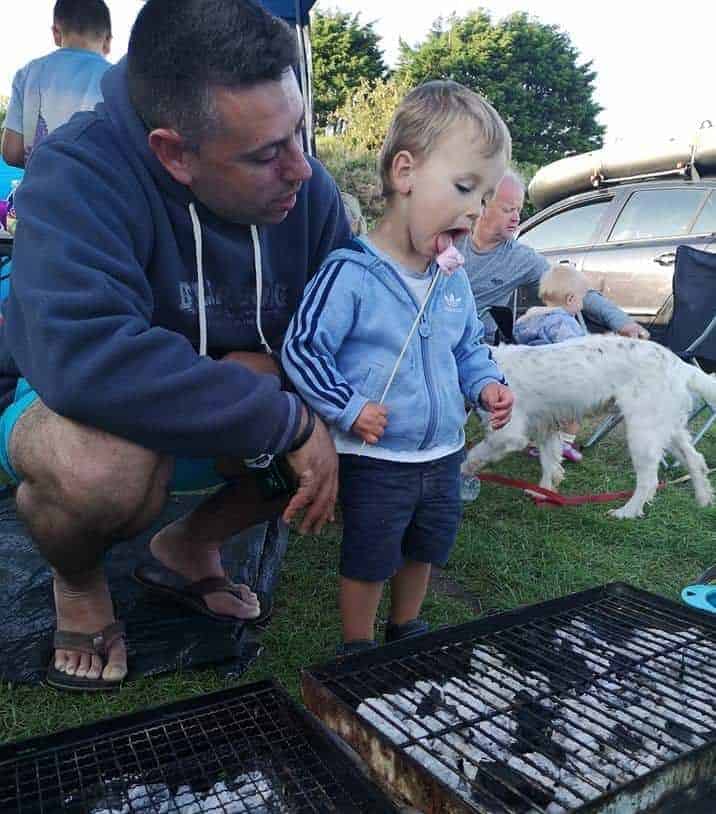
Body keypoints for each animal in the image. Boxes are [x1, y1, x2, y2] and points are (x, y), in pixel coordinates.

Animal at [464, 334, 716, 520]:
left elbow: (471, 457)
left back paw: (626, 512)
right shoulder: (546, 426)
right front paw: (543, 492)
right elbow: (550, 462)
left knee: (649, 480)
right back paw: (704, 500)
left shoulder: (507, 434)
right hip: (667, 430)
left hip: (642, 433)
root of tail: (680, 365)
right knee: (696, 461)